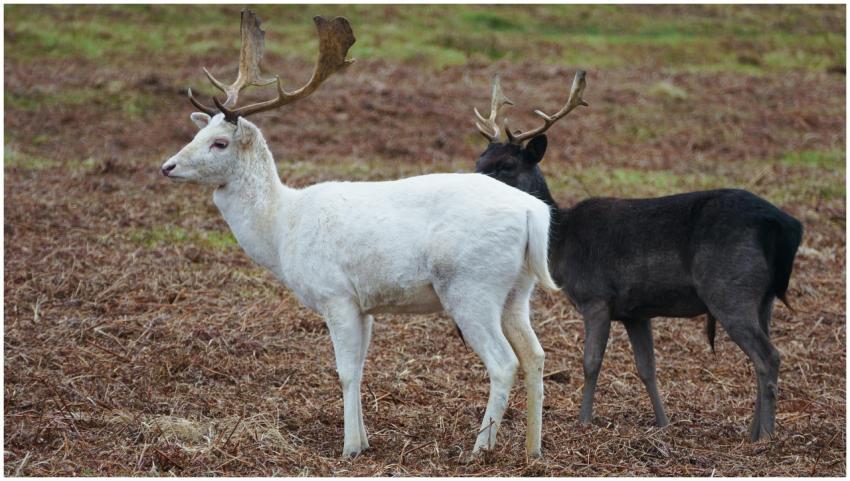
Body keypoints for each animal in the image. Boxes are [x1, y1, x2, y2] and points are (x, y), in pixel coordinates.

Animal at [161, 10, 559, 458]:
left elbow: (346, 371)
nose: (168, 166)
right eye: (196, 134)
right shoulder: (365, 304)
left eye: (220, 142)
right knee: (536, 354)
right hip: (517, 290)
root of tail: (533, 212)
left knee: (504, 361)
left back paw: (480, 447)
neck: (282, 228)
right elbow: (363, 366)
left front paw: (350, 447)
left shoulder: (335, 294)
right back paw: (533, 449)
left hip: (471, 286)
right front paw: (365, 439)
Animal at [472, 72, 803, 441]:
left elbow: (591, 363)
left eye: (507, 165)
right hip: (763, 297)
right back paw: (753, 431)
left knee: (768, 357)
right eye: (479, 160)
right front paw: (663, 424)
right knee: (763, 354)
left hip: (730, 287)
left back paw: (765, 437)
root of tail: (784, 225)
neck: (561, 241)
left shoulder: (596, 296)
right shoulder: (635, 312)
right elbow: (647, 368)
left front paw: (584, 421)